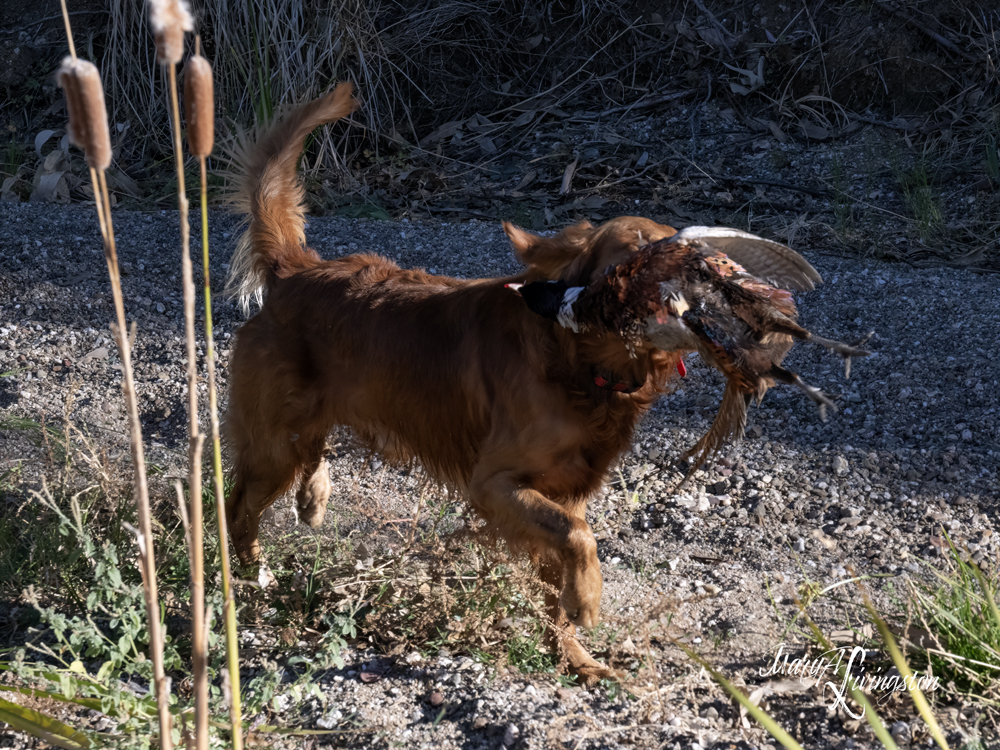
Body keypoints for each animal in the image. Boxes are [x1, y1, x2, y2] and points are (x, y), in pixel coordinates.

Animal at [223, 83, 684, 680]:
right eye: (631, 253)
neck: (580, 362)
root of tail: (293, 270)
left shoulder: (564, 491)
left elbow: (561, 567)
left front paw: (576, 657)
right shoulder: (495, 483)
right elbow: (578, 540)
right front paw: (588, 600)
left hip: (302, 424)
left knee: (307, 456)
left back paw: (313, 498)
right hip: (273, 444)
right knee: (238, 509)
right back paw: (253, 580)